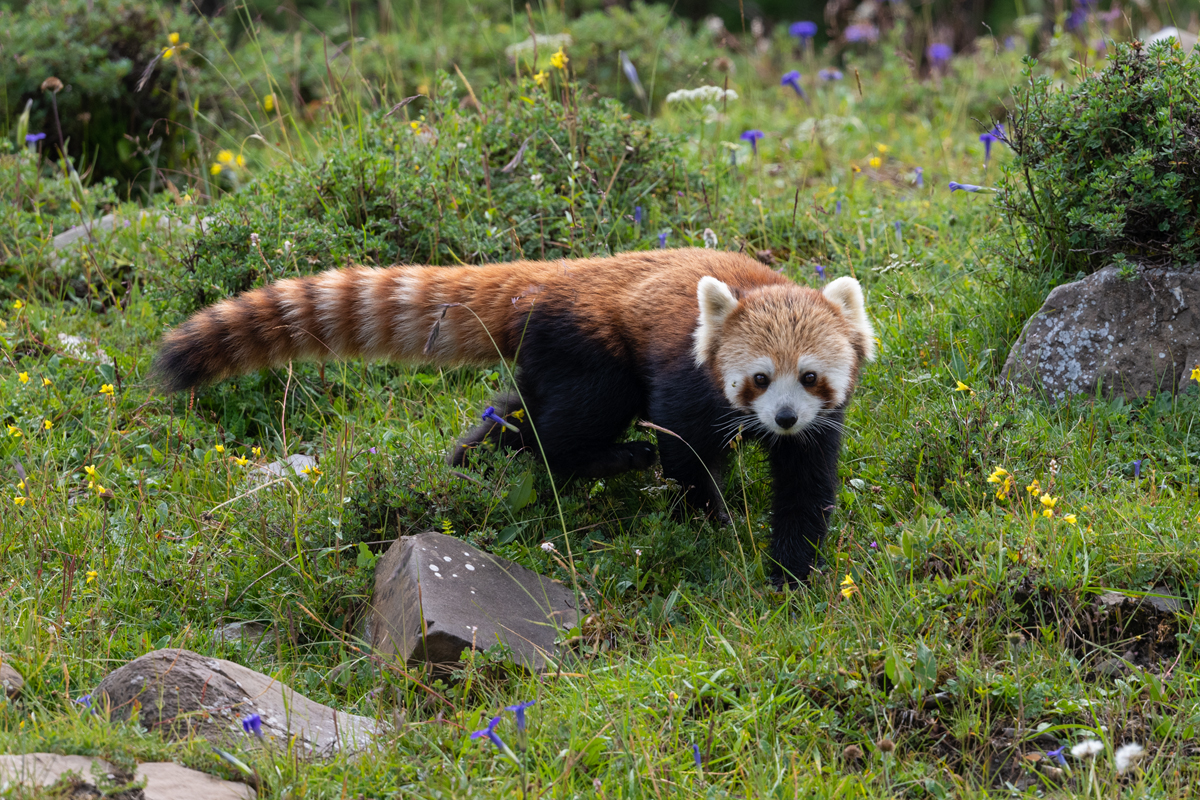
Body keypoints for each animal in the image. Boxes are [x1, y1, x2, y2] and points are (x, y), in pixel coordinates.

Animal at [154, 248, 878, 582]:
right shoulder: (686, 378)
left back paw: (474, 454)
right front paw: (709, 524)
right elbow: (687, 456)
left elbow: (806, 487)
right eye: (758, 379)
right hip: (593, 353)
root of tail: (549, 277)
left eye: (808, 377)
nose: (782, 418)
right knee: (561, 431)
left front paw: (792, 568)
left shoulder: (821, 424)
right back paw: (600, 458)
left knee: (516, 413)